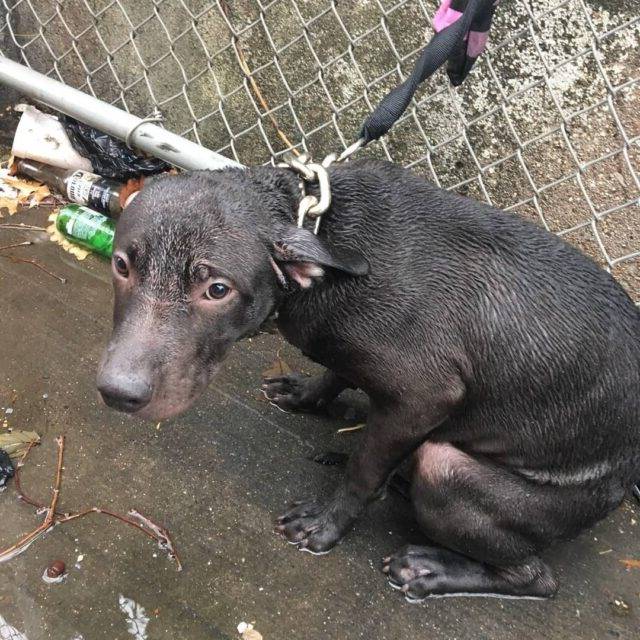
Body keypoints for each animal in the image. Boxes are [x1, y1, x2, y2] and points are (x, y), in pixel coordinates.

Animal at [96, 160, 640, 600]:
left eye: (216, 289)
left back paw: (431, 570)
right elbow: (337, 374)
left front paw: (325, 525)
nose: (117, 392)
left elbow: (361, 469)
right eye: (121, 264)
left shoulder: (423, 395)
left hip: (449, 471)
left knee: (537, 578)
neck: (317, 231)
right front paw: (306, 394)